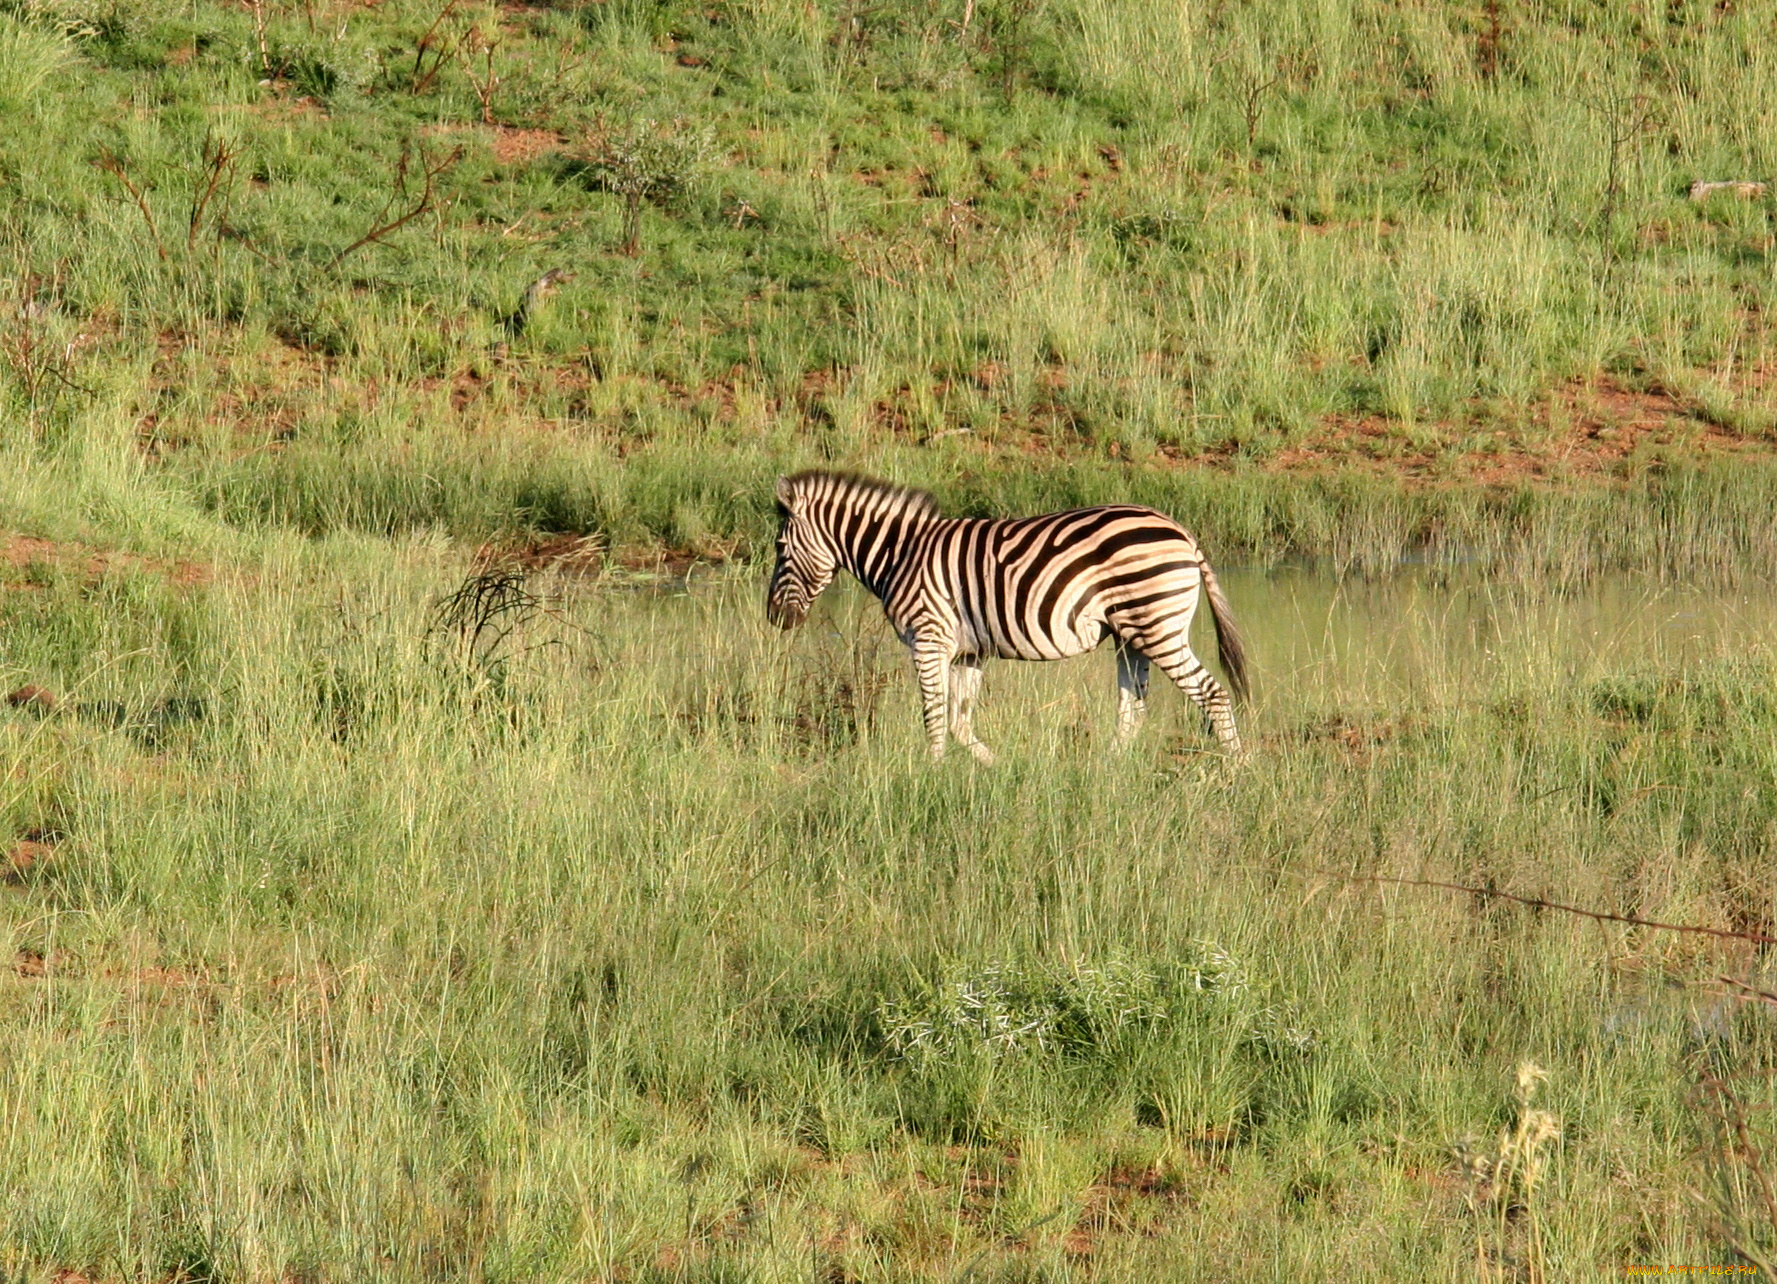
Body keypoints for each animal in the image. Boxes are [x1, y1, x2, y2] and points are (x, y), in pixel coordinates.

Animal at [764, 475, 1251, 763]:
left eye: (779, 547)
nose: (773, 618)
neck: (901, 554)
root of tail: (1182, 532)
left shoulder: (929, 638)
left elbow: (933, 715)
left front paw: (929, 774)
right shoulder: (967, 651)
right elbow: (959, 720)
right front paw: (992, 769)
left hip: (1157, 627)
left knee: (1212, 694)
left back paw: (1237, 769)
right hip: (1130, 635)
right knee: (1133, 709)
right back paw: (1106, 772)